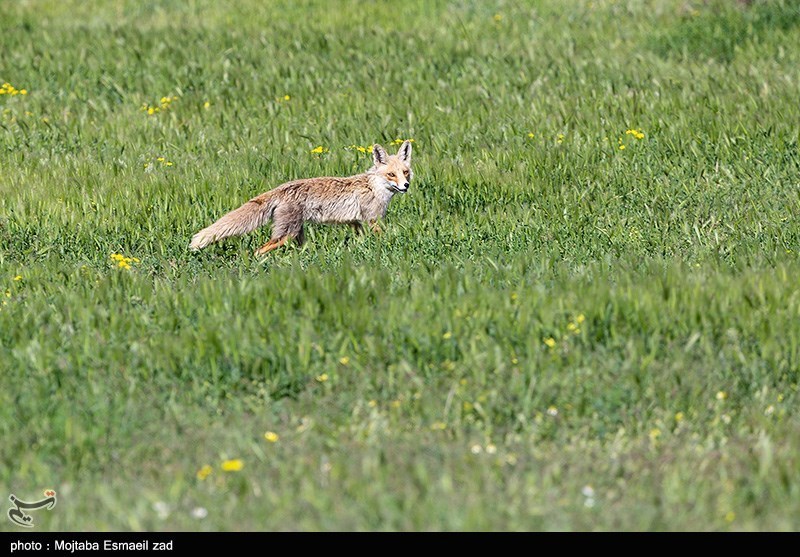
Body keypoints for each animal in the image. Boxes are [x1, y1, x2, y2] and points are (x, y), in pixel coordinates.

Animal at [188, 139, 412, 254]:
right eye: (391, 174)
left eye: (405, 172)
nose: (406, 186)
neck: (375, 187)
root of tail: (282, 188)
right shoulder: (373, 220)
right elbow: (382, 238)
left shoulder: (356, 222)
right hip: (286, 234)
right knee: (259, 250)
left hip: (296, 233)